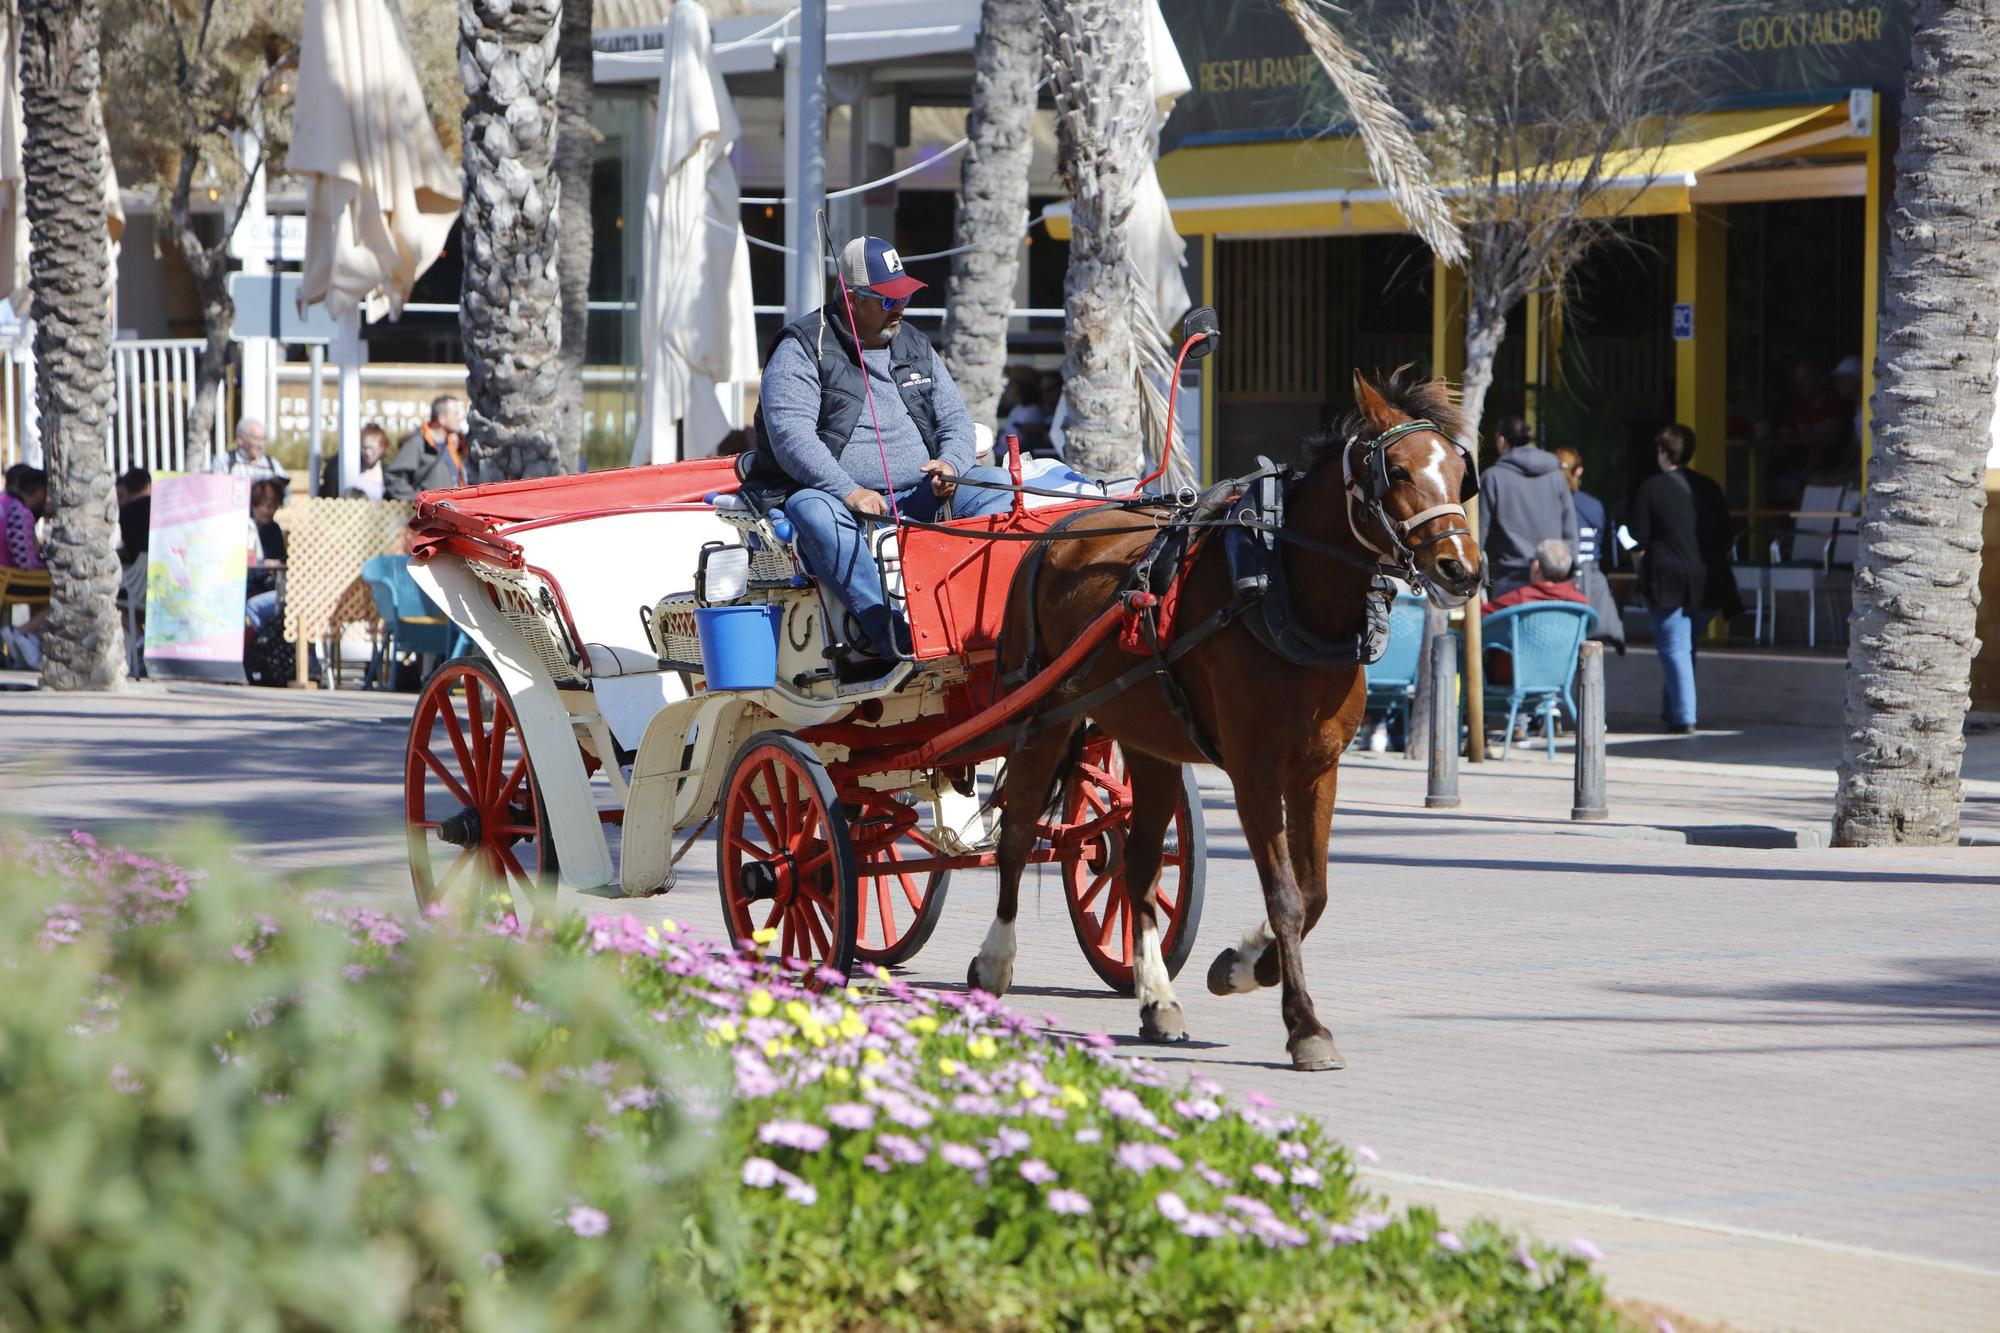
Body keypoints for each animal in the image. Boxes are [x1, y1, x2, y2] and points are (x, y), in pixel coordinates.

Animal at [968, 366, 1488, 1072]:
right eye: (1400, 471)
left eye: (1461, 474)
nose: (1462, 568)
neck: (1285, 591)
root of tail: (1051, 532)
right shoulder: (1253, 773)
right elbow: (1286, 895)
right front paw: (1304, 1025)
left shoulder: (1318, 771)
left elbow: (1314, 891)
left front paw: (1245, 966)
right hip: (1042, 720)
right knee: (1019, 834)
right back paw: (994, 963)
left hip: (1149, 741)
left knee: (1136, 865)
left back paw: (1157, 998)